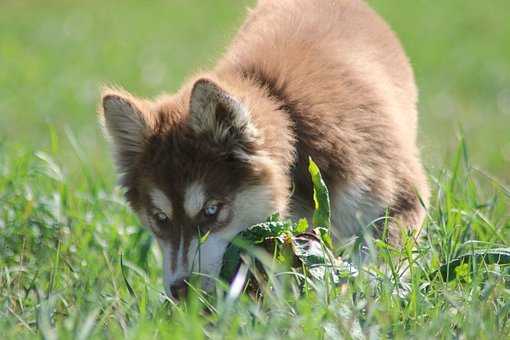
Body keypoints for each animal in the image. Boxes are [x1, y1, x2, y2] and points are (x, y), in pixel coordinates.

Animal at [97, 0, 428, 298]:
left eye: (211, 210)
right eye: (160, 218)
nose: (179, 291)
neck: (289, 120)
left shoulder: (401, 198)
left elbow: (376, 264)